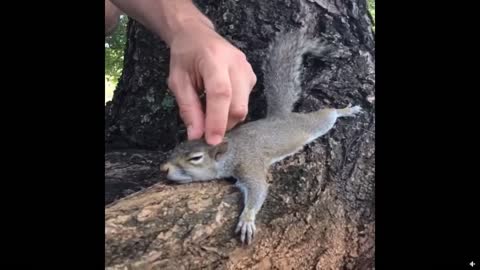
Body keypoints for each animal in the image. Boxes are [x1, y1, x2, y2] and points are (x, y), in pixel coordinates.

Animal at [159, 26, 362, 245]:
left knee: (328, 115)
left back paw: (345, 111)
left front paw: (247, 219)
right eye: (176, 148)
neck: (231, 150)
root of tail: (280, 116)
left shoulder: (249, 164)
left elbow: (258, 188)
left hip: (312, 125)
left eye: (195, 158)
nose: (164, 169)